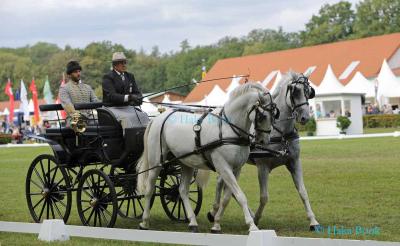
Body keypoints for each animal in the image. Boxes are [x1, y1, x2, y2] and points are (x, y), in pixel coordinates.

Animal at [136, 83, 276, 233]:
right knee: (149, 189)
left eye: (274, 115)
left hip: (186, 163)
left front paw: (216, 223)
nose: (263, 141)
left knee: (182, 190)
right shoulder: (223, 167)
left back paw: (192, 222)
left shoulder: (236, 169)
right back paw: (144, 222)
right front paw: (252, 225)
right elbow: (240, 195)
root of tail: (158, 118)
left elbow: (227, 198)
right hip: (156, 162)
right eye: (262, 116)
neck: (229, 129)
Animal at [208, 71, 320, 231]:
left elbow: (303, 192)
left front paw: (313, 221)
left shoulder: (294, 162)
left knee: (223, 184)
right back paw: (217, 212)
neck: (280, 132)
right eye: (295, 91)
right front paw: (256, 218)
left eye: (309, 91)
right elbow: (264, 197)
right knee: (223, 184)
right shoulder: (263, 167)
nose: (305, 117)